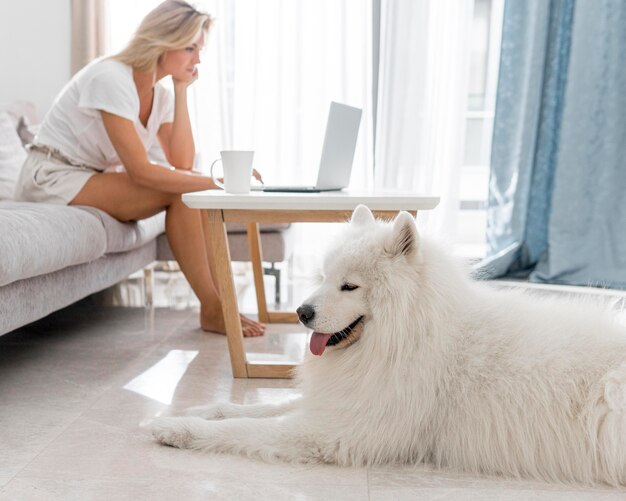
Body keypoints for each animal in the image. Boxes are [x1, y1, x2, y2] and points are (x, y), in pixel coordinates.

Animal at [151, 203, 624, 484]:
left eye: (349, 286)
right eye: (323, 277)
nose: (302, 312)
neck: (404, 335)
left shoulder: (338, 429)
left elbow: (244, 429)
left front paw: (176, 429)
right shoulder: (346, 397)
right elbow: (257, 408)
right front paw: (199, 410)